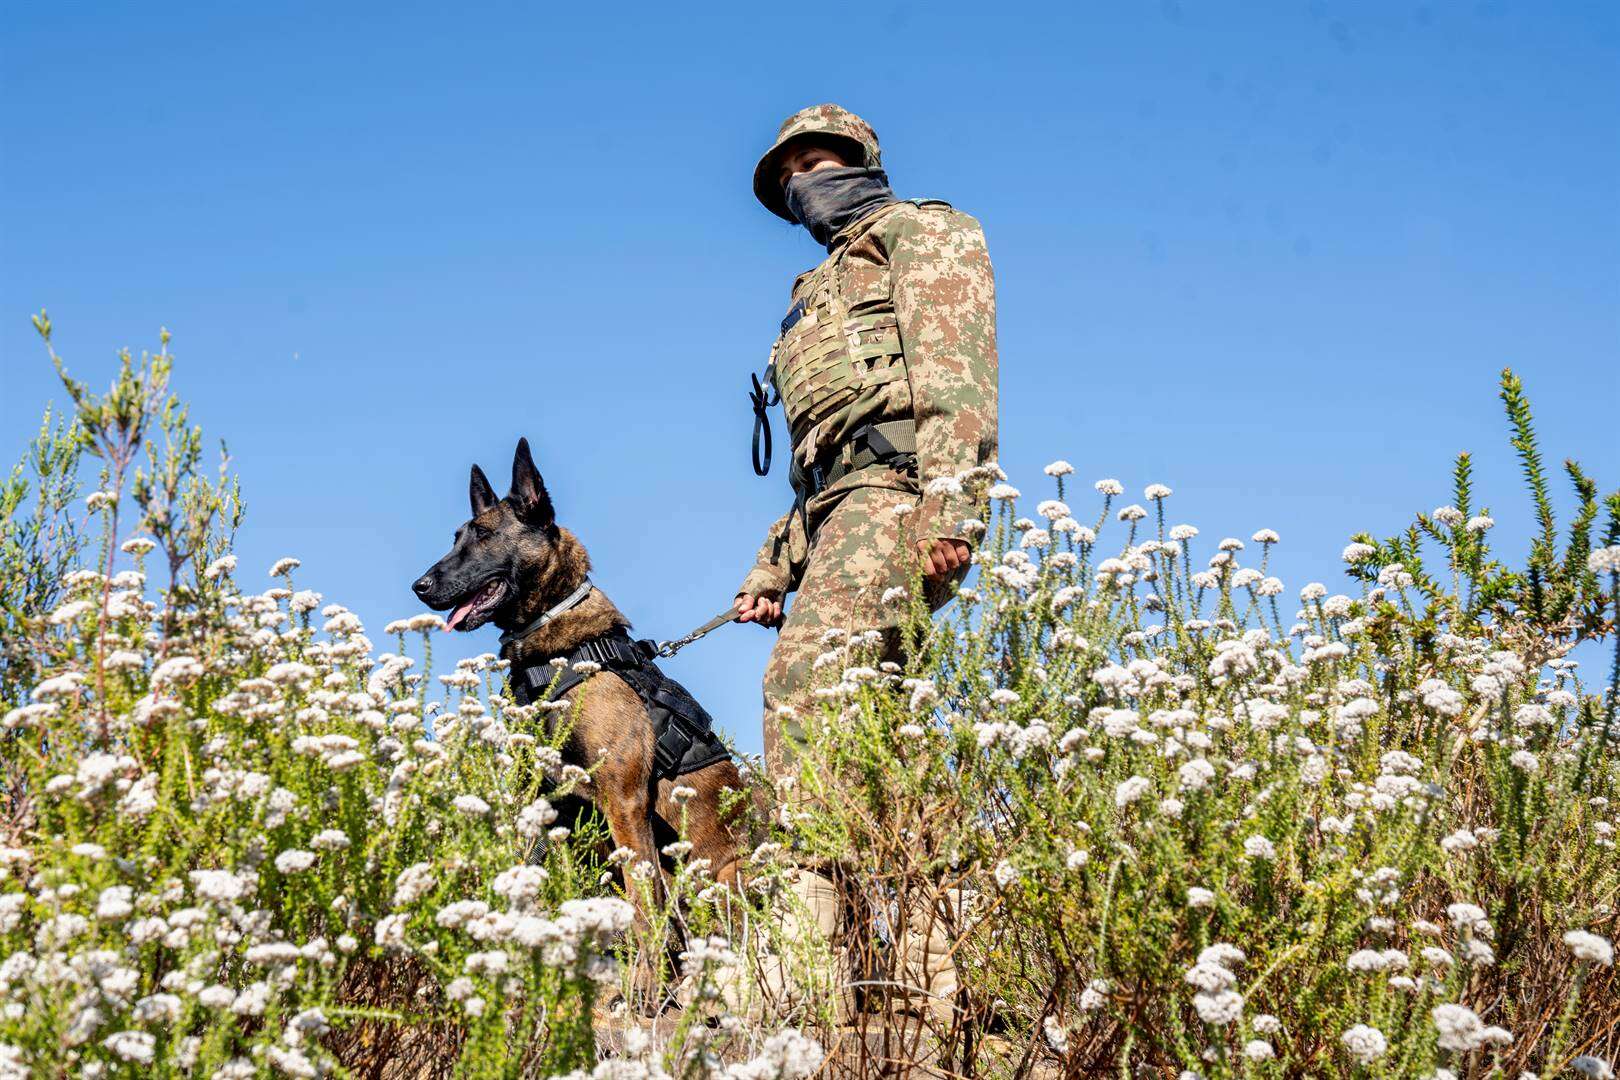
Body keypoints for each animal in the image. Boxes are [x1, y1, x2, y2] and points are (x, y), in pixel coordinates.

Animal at [411, 440, 751, 932]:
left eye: (485, 536)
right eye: (455, 538)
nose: (419, 586)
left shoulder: (624, 800)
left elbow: (643, 909)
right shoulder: (547, 807)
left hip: (727, 877)